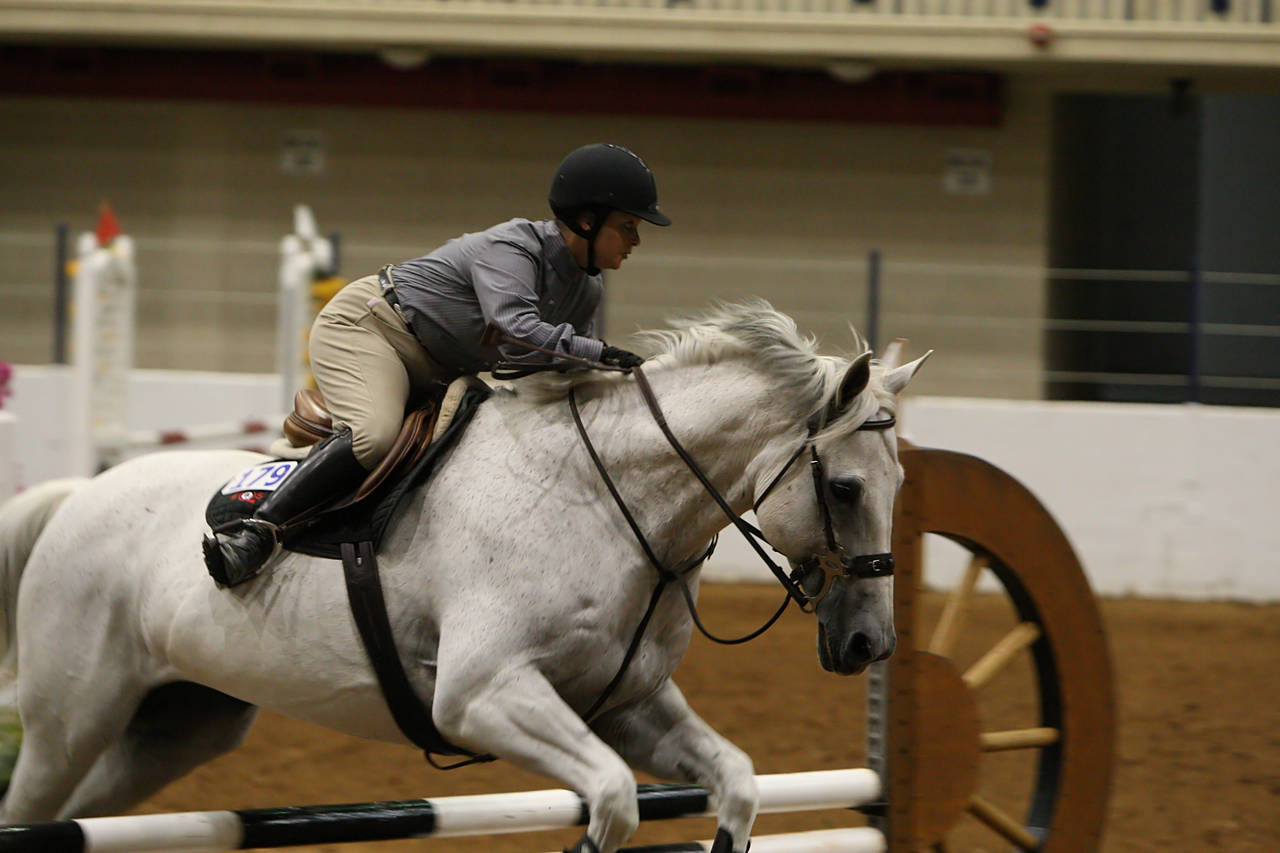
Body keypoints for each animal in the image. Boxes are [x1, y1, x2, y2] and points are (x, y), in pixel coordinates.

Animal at [0, 300, 926, 850]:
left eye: (900, 485)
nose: (869, 642)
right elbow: (612, 796)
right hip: (72, 717)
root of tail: (78, 493)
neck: (606, 500)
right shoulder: (484, 694)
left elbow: (732, 782)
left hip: (173, 727)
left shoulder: (625, 704)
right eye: (845, 488)